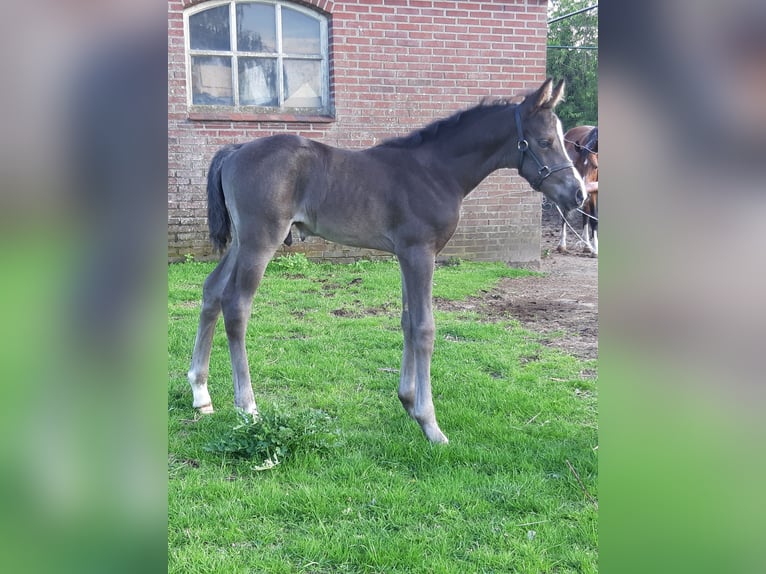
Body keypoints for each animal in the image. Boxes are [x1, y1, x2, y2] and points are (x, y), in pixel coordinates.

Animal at [189, 77, 584, 446]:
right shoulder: (420, 252)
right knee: (236, 304)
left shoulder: (405, 255)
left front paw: (408, 401)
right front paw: (430, 424)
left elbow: (407, 321)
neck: (435, 171)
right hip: (260, 241)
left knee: (211, 290)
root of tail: (236, 149)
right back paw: (247, 406)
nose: (578, 193)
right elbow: (424, 328)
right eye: (545, 141)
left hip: (242, 241)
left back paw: (200, 391)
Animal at [560, 126, 600, 256]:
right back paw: (562, 245)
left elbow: (592, 218)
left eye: (596, 166)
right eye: (577, 165)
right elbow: (593, 219)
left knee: (585, 214)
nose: (583, 191)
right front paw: (596, 249)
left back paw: (587, 245)